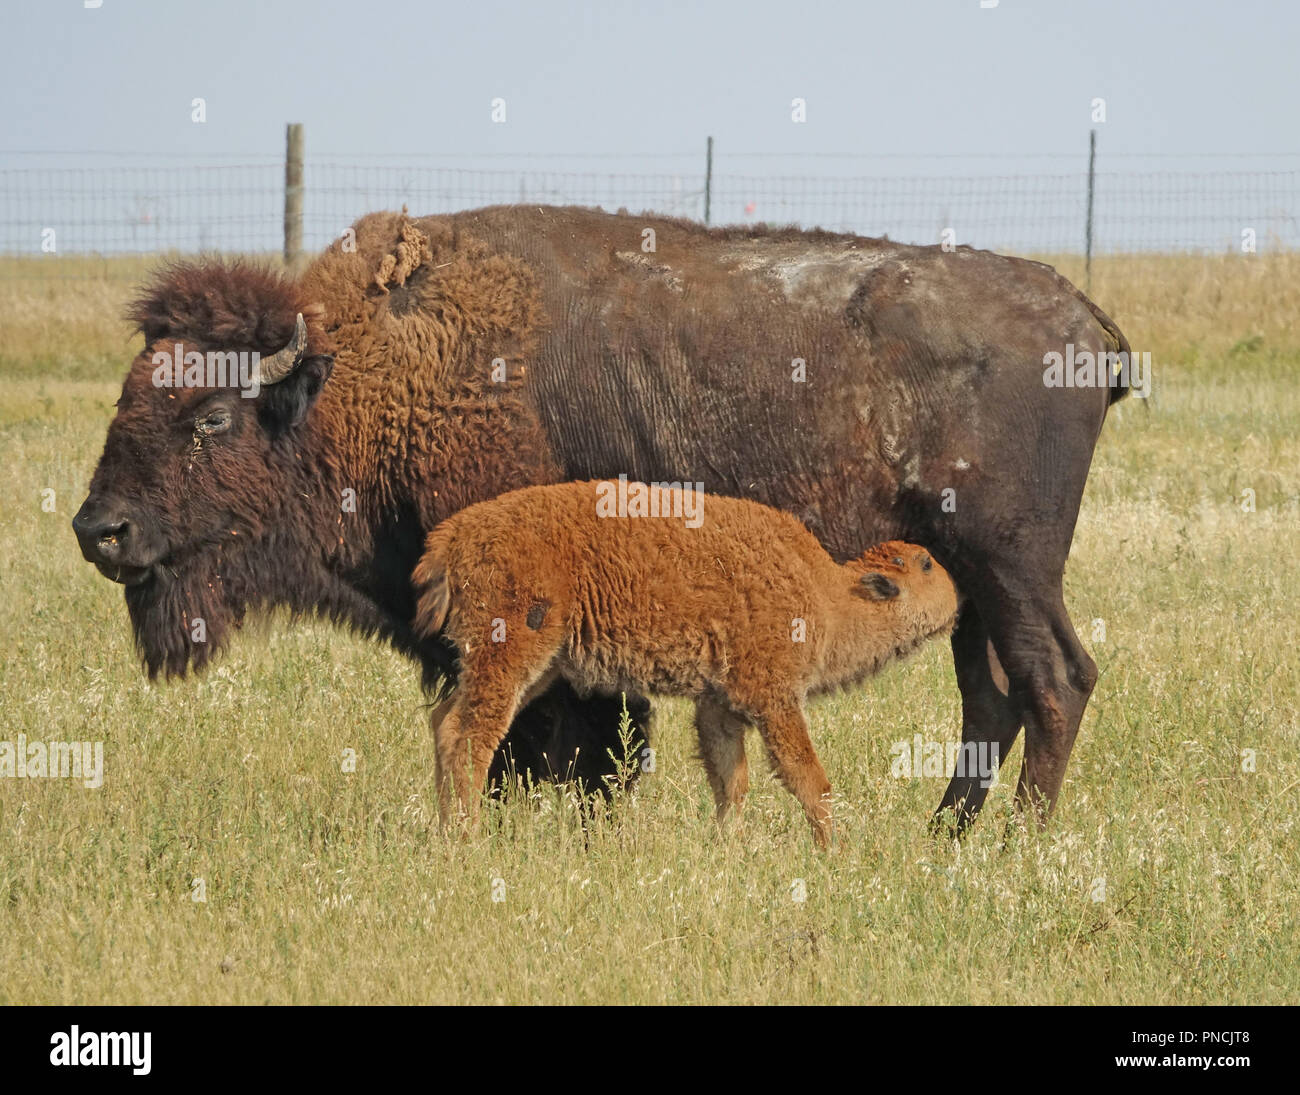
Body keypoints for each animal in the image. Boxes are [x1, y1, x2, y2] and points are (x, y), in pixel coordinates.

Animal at [72, 206, 1130, 831]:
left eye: (211, 415)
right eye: (126, 394)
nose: (99, 530)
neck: (372, 377)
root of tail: (1083, 317)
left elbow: (576, 738)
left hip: (1010, 563)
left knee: (1053, 679)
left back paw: (1016, 846)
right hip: (964, 577)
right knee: (991, 695)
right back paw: (944, 839)